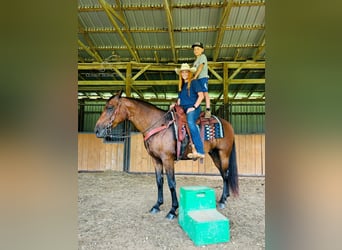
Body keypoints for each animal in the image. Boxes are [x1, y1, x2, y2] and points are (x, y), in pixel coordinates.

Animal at [93, 91, 238, 220]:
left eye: (110, 107)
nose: (97, 130)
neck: (158, 126)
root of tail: (228, 124)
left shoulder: (167, 159)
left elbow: (171, 183)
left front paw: (173, 210)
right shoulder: (156, 159)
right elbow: (159, 181)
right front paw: (157, 205)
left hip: (223, 154)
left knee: (225, 174)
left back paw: (223, 200)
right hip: (215, 154)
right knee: (223, 173)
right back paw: (225, 197)